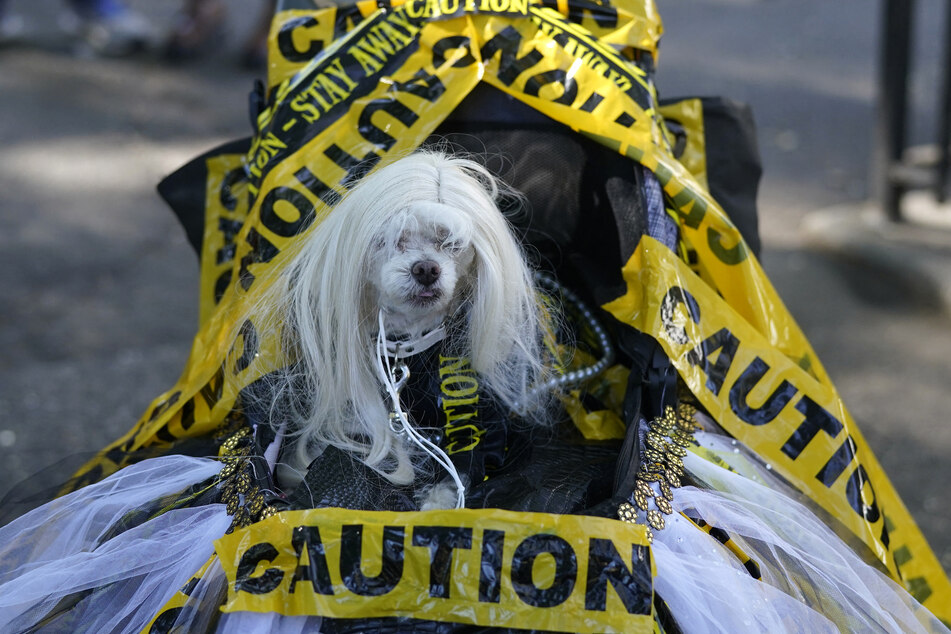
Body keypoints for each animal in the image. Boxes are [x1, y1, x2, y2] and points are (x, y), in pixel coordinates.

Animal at [260, 151, 556, 506]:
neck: (409, 344)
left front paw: (438, 504)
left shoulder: (478, 417)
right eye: (391, 241)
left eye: (451, 243)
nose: (426, 268)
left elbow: (462, 467)